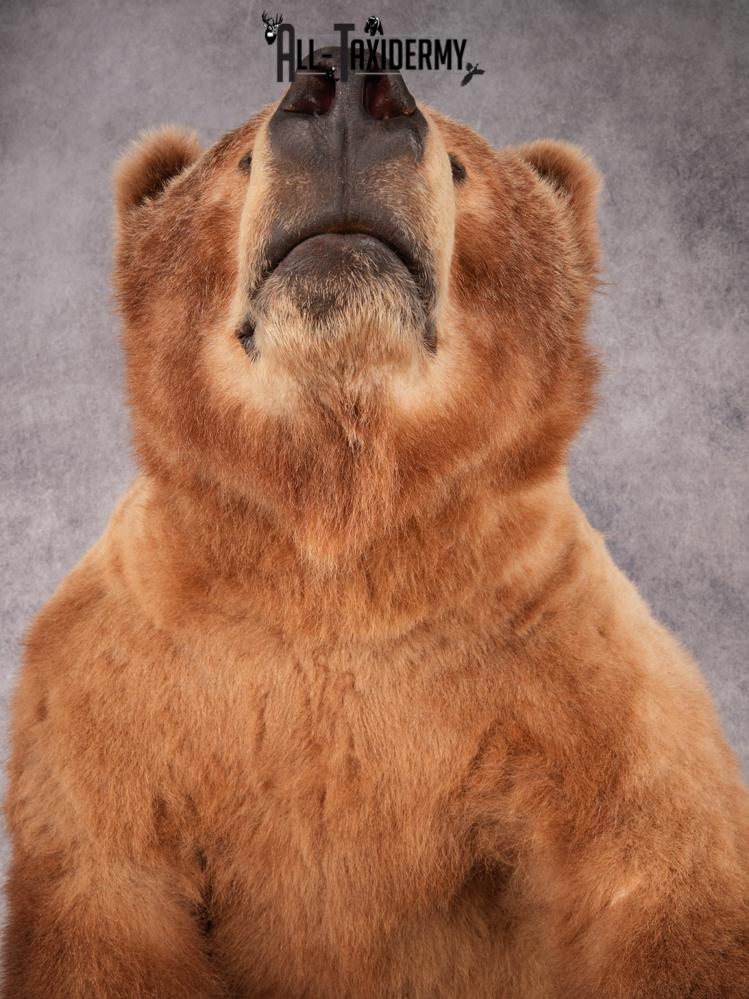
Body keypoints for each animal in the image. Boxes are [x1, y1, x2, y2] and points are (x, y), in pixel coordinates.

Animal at [3, 48, 749, 998]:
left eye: (462, 167)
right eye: (238, 160)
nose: (351, 96)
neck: (340, 534)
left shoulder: (568, 670)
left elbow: (658, 877)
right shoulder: (122, 688)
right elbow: (102, 911)